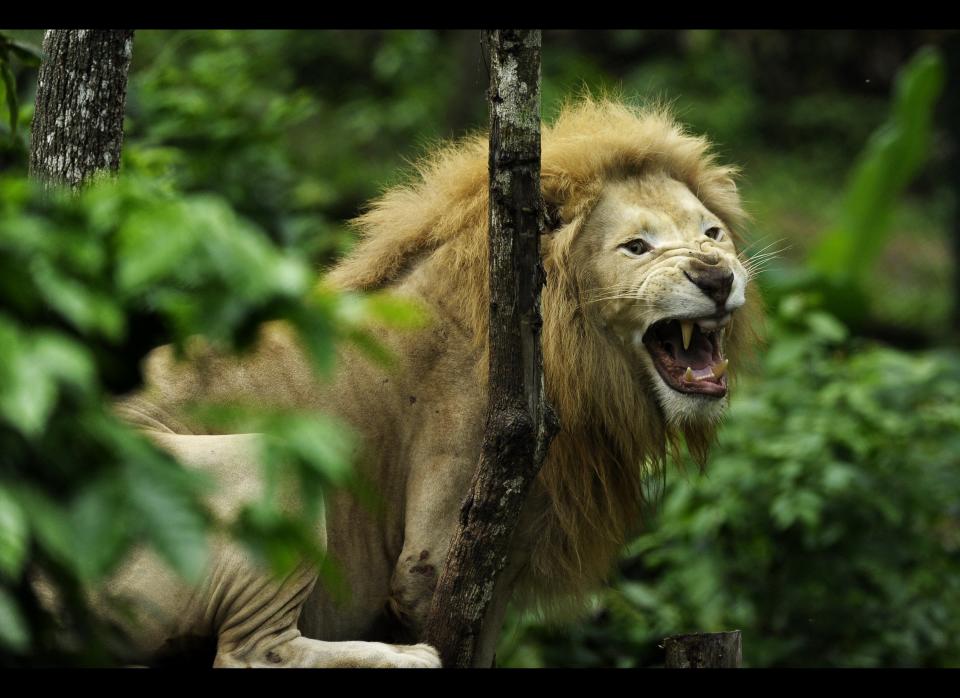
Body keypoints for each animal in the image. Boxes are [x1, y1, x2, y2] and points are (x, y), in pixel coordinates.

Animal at [107, 95, 756, 668]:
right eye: (636, 246)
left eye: (712, 233)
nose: (716, 278)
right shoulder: (437, 558)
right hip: (263, 464)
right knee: (250, 652)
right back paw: (403, 659)